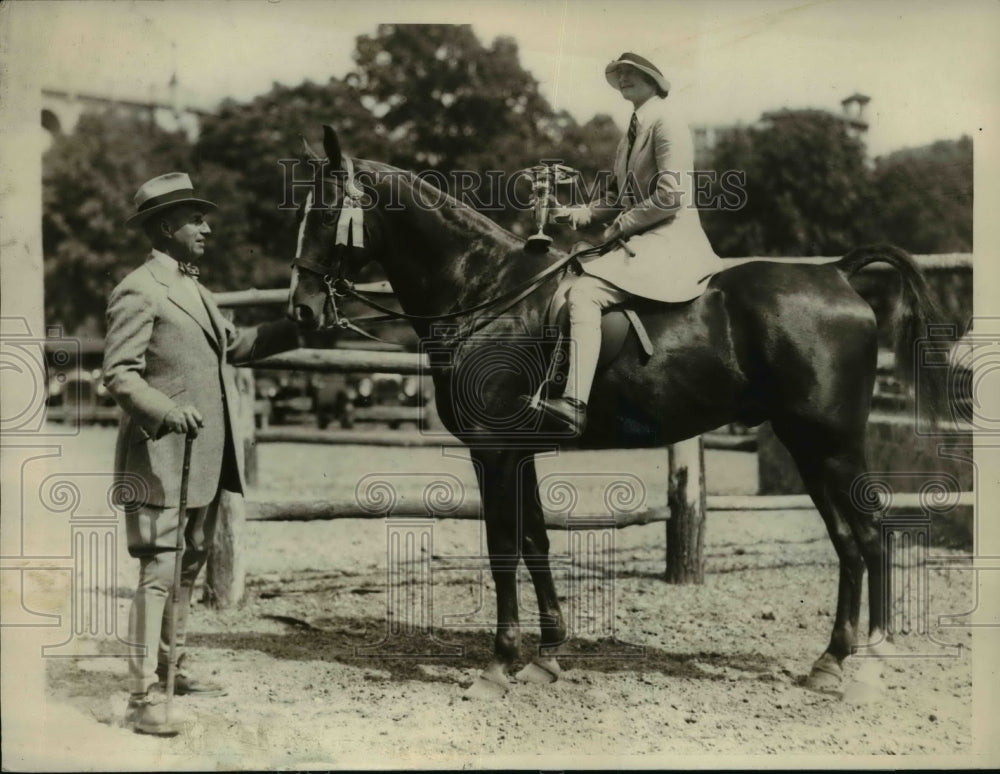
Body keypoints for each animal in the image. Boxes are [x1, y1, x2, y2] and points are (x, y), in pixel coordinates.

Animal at [288, 126, 944, 704]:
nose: (302, 309)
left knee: (870, 536)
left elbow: (503, 550)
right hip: (807, 447)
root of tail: (835, 272)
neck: (487, 293)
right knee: (848, 543)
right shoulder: (518, 453)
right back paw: (830, 661)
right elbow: (536, 543)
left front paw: (499, 666)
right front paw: (547, 658)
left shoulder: (492, 453)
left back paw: (870, 663)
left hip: (833, 445)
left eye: (323, 214)